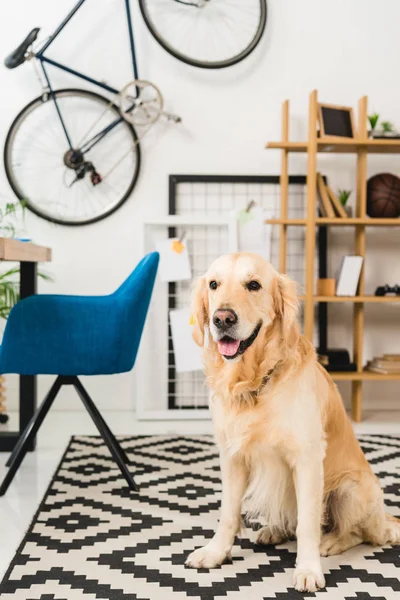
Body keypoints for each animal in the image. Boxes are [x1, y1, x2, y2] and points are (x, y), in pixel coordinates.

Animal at [185, 252, 400, 592]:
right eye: (214, 284)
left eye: (254, 285)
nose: (222, 319)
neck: (255, 384)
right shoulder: (232, 457)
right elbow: (228, 514)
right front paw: (216, 552)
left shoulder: (308, 459)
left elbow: (308, 525)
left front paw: (308, 569)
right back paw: (273, 530)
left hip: (350, 488)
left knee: (359, 533)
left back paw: (331, 542)